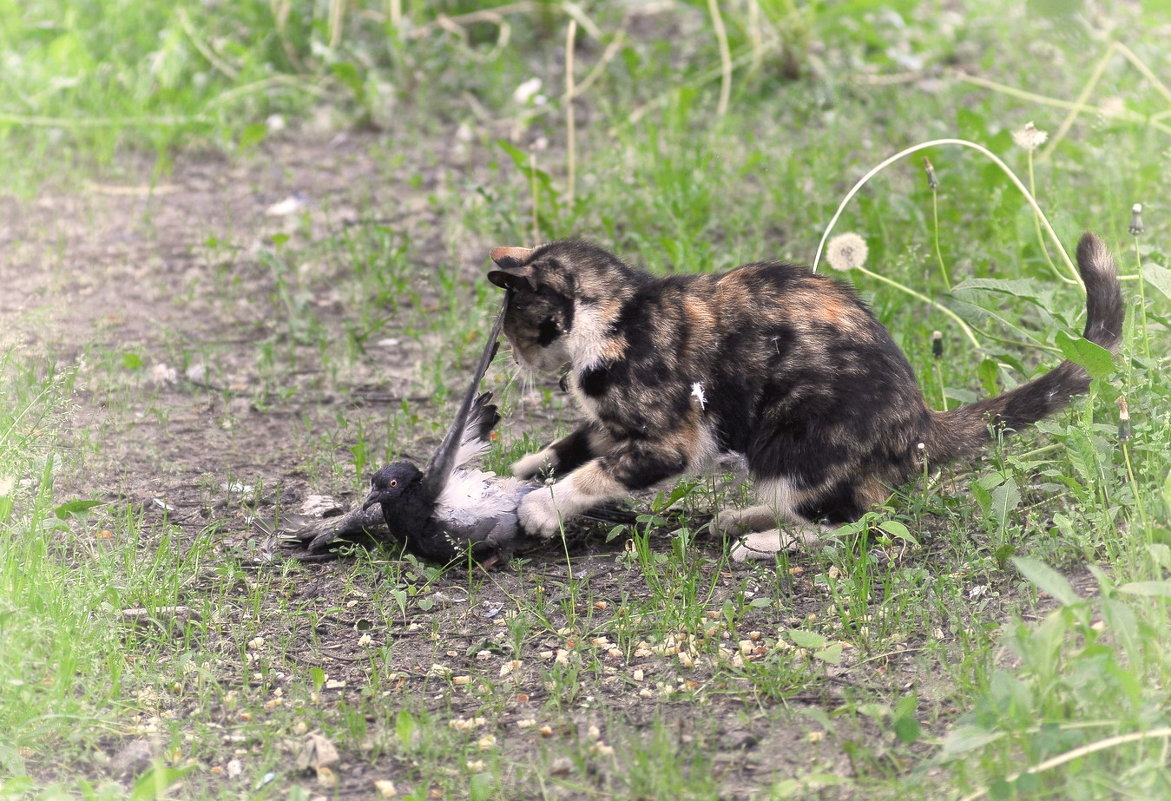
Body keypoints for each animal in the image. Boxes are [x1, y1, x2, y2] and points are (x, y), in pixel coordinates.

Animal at [487, 234, 1124, 559]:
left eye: (514, 321)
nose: (509, 356)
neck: (617, 314)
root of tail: (917, 421)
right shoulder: (612, 423)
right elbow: (576, 443)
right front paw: (524, 468)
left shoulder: (669, 436)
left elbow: (598, 473)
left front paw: (543, 507)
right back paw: (738, 518)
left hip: (794, 439)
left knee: (854, 520)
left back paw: (760, 541)